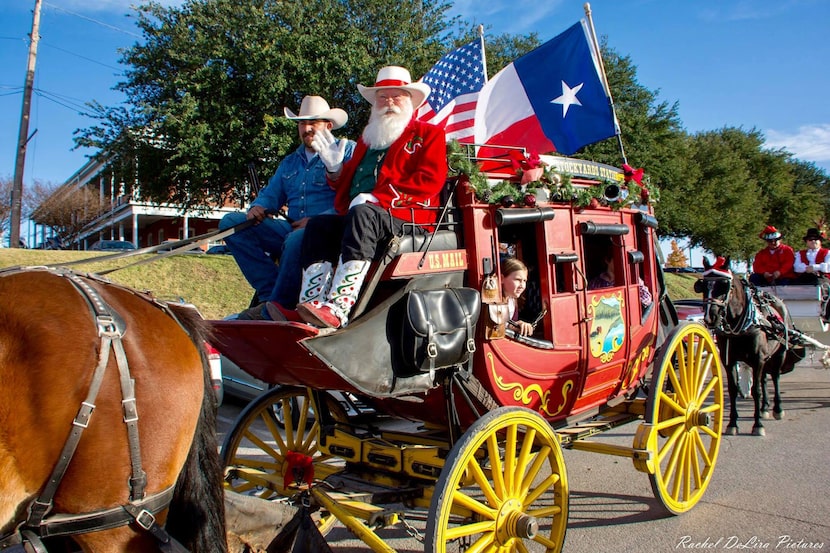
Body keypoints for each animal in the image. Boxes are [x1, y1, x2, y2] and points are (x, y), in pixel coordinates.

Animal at [696, 258, 808, 436]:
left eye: (725, 285)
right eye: (703, 285)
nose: (710, 317)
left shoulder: (758, 359)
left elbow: (756, 391)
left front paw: (758, 425)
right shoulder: (729, 361)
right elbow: (734, 389)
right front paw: (732, 423)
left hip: (779, 354)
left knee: (775, 377)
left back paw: (777, 409)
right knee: (764, 379)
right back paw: (764, 408)